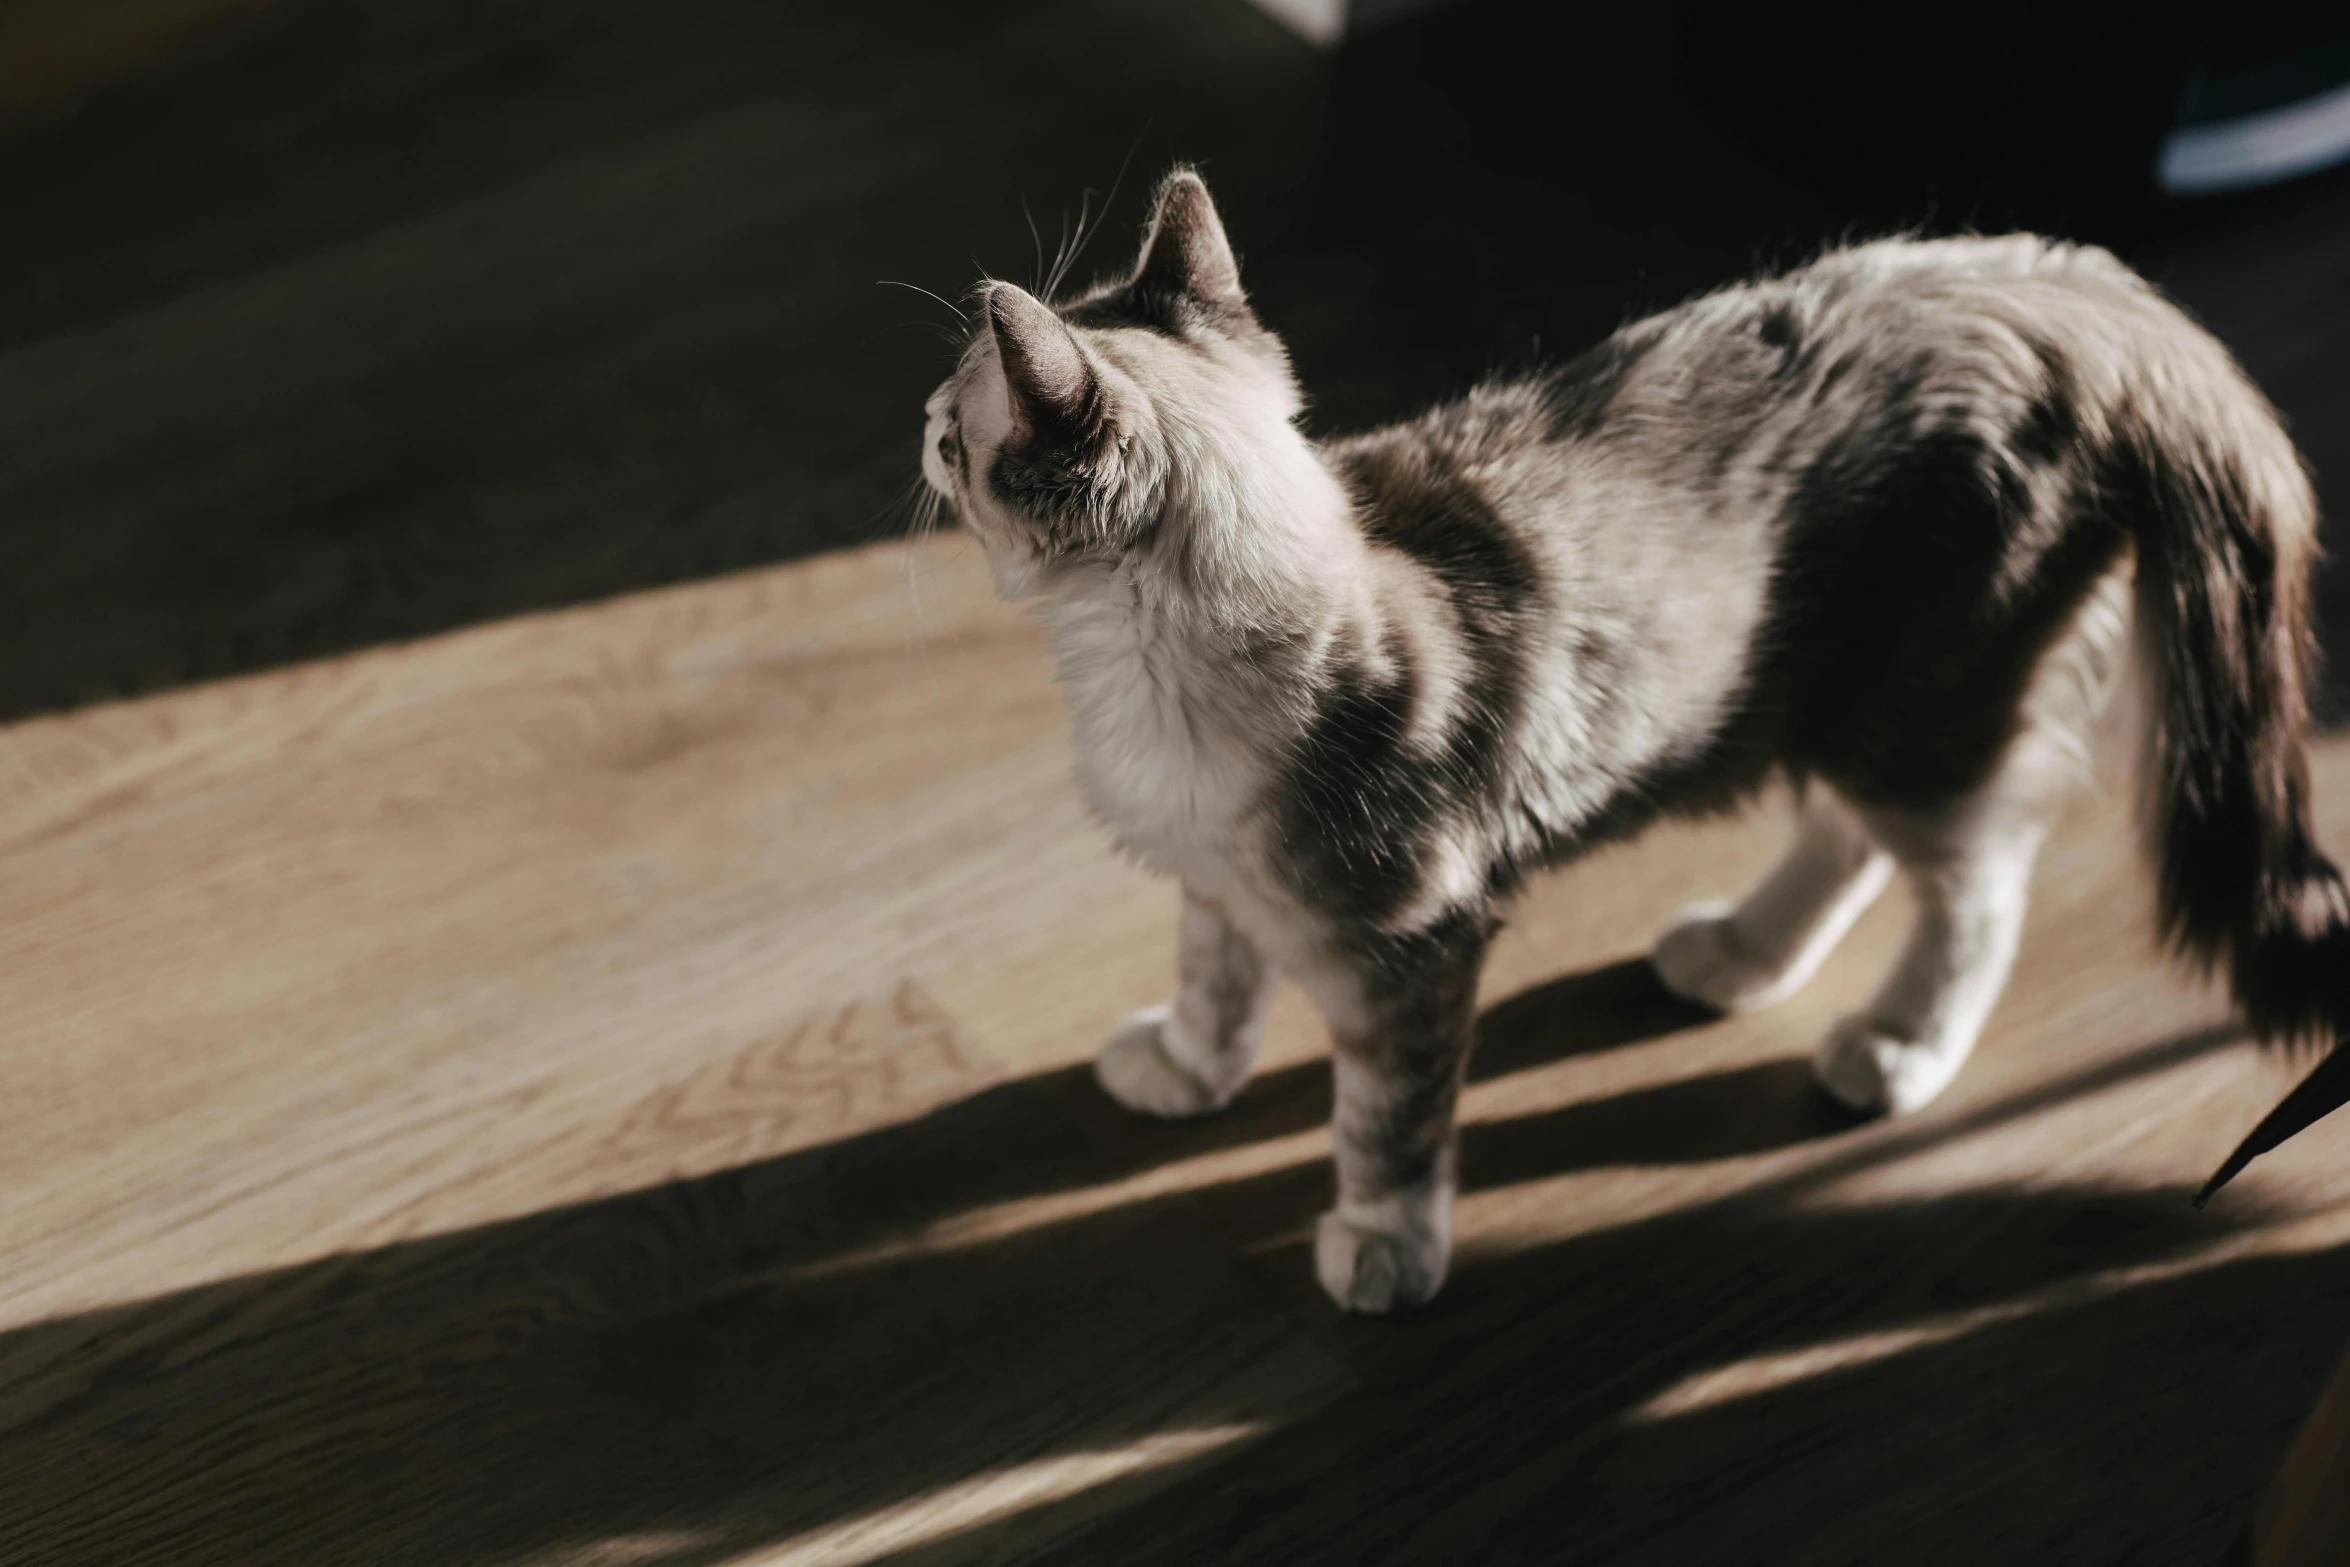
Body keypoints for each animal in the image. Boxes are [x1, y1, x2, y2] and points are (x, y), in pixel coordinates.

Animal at [911, 165, 2350, 1315]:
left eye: (957, 424)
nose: (919, 416)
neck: (1148, 679)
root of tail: (2073, 289)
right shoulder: (1217, 878)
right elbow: (1216, 978)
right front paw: (1185, 1066)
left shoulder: (1414, 947)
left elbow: (1387, 1117)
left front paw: (1382, 1243)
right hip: (1827, 698)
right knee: (1845, 839)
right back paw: (1739, 953)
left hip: (1924, 705)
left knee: (1976, 882)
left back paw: (1893, 1046)